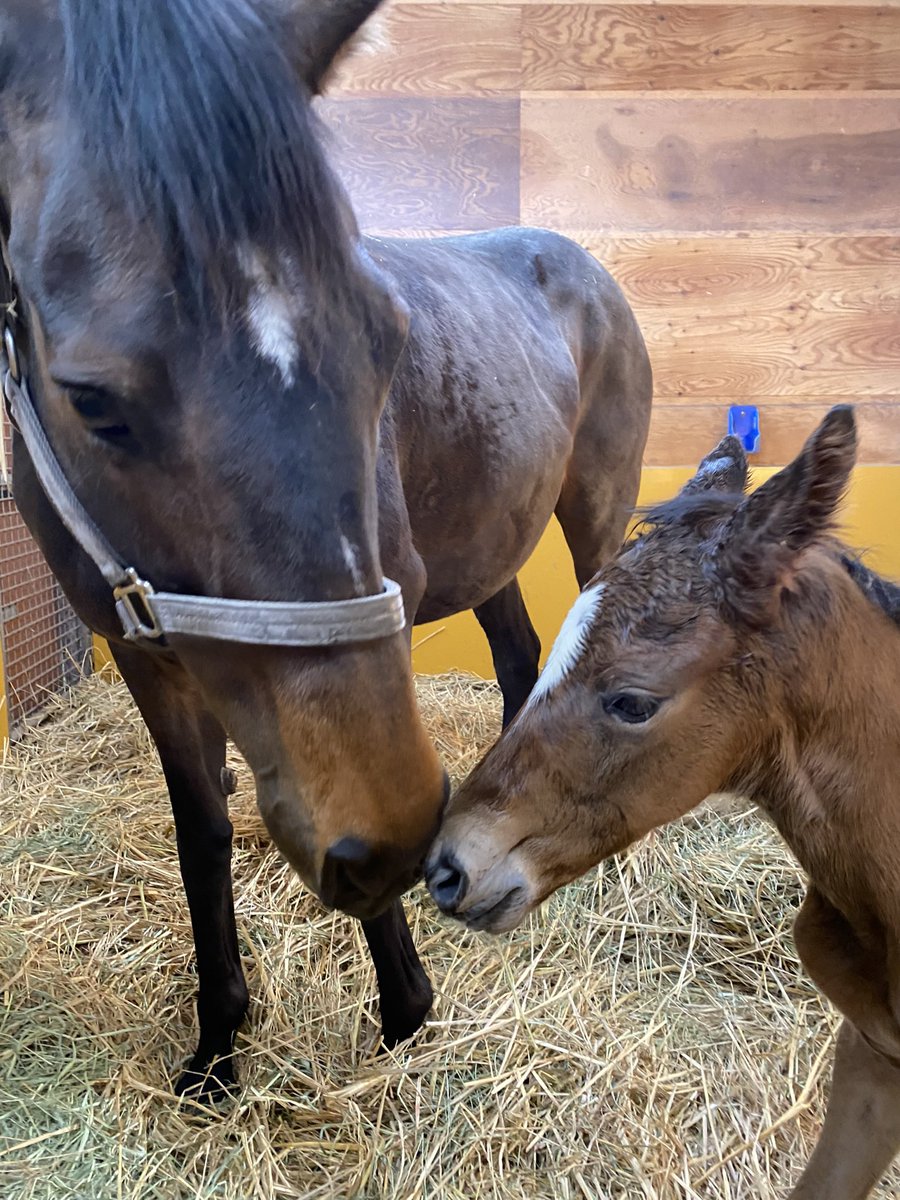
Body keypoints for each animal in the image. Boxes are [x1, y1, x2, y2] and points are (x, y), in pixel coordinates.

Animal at [0, 0, 652, 1097]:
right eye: (91, 399)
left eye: (385, 338)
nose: (399, 843)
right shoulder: (144, 657)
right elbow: (203, 834)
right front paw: (219, 1047)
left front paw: (405, 1012)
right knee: (521, 657)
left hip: (595, 515)